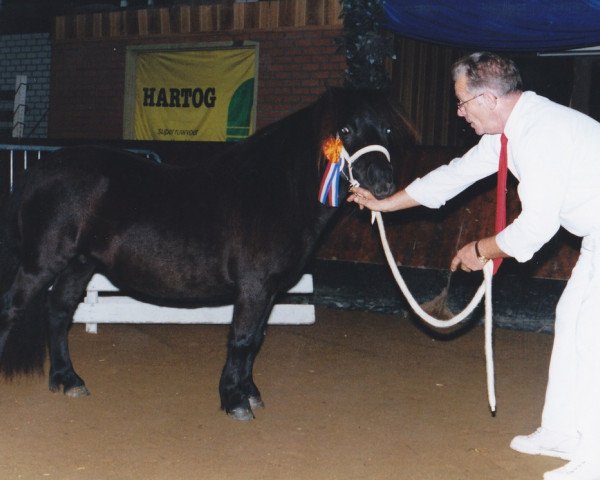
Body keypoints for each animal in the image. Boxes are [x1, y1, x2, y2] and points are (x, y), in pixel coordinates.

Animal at [0, 87, 412, 420]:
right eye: (345, 130)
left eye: (388, 130)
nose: (383, 183)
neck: (274, 190)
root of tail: (38, 172)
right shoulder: (254, 288)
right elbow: (242, 339)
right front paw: (235, 402)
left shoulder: (270, 292)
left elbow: (256, 340)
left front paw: (249, 392)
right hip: (41, 264)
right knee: (13, 309)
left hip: (79, 265)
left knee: (58, 313)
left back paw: (68, 380)